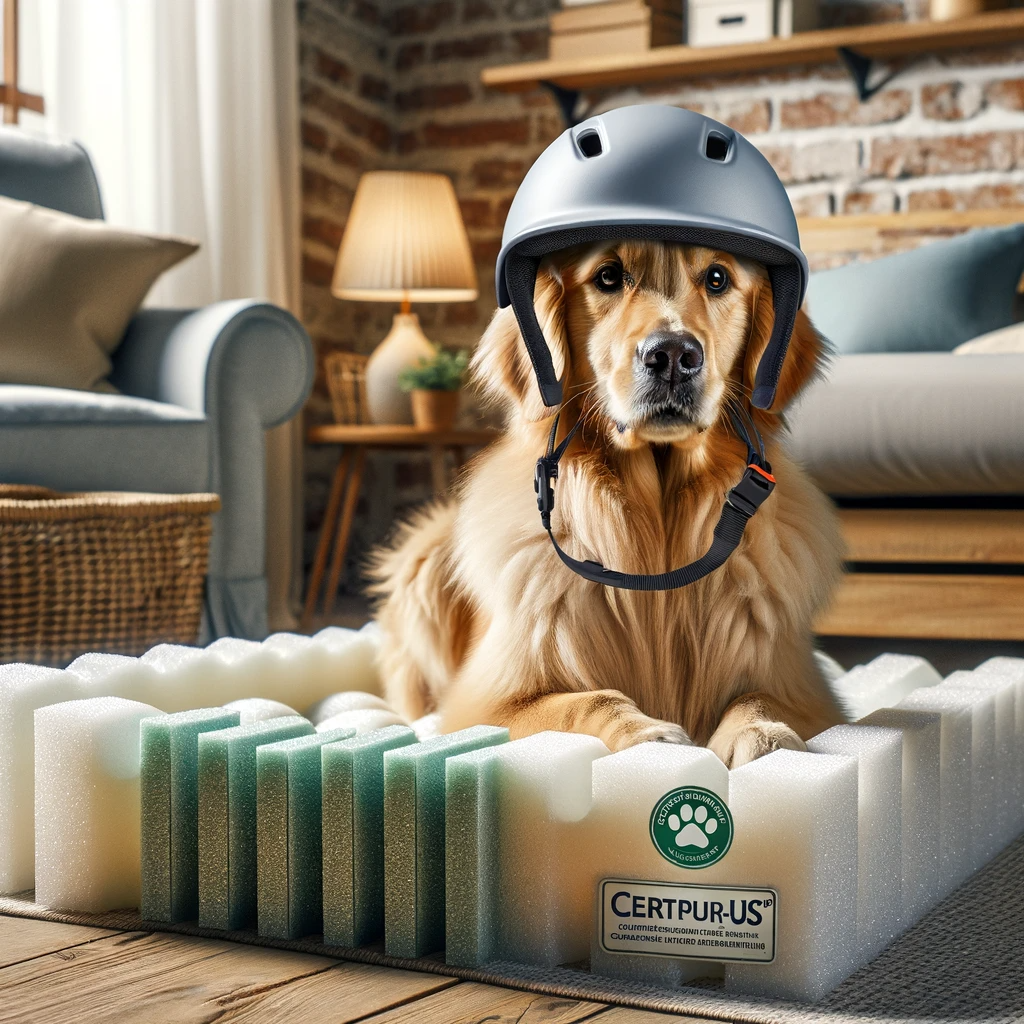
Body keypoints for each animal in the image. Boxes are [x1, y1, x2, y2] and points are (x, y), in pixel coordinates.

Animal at [372, 239, 843, 770]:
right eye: (609, 277)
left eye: (718, 278)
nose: (673, 355)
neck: (658, 534)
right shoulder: (483, 704)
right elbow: (587, 699)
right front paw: (648, 735)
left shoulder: (810, 692)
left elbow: (758, 697)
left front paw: (762, 733)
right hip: (423, 557)